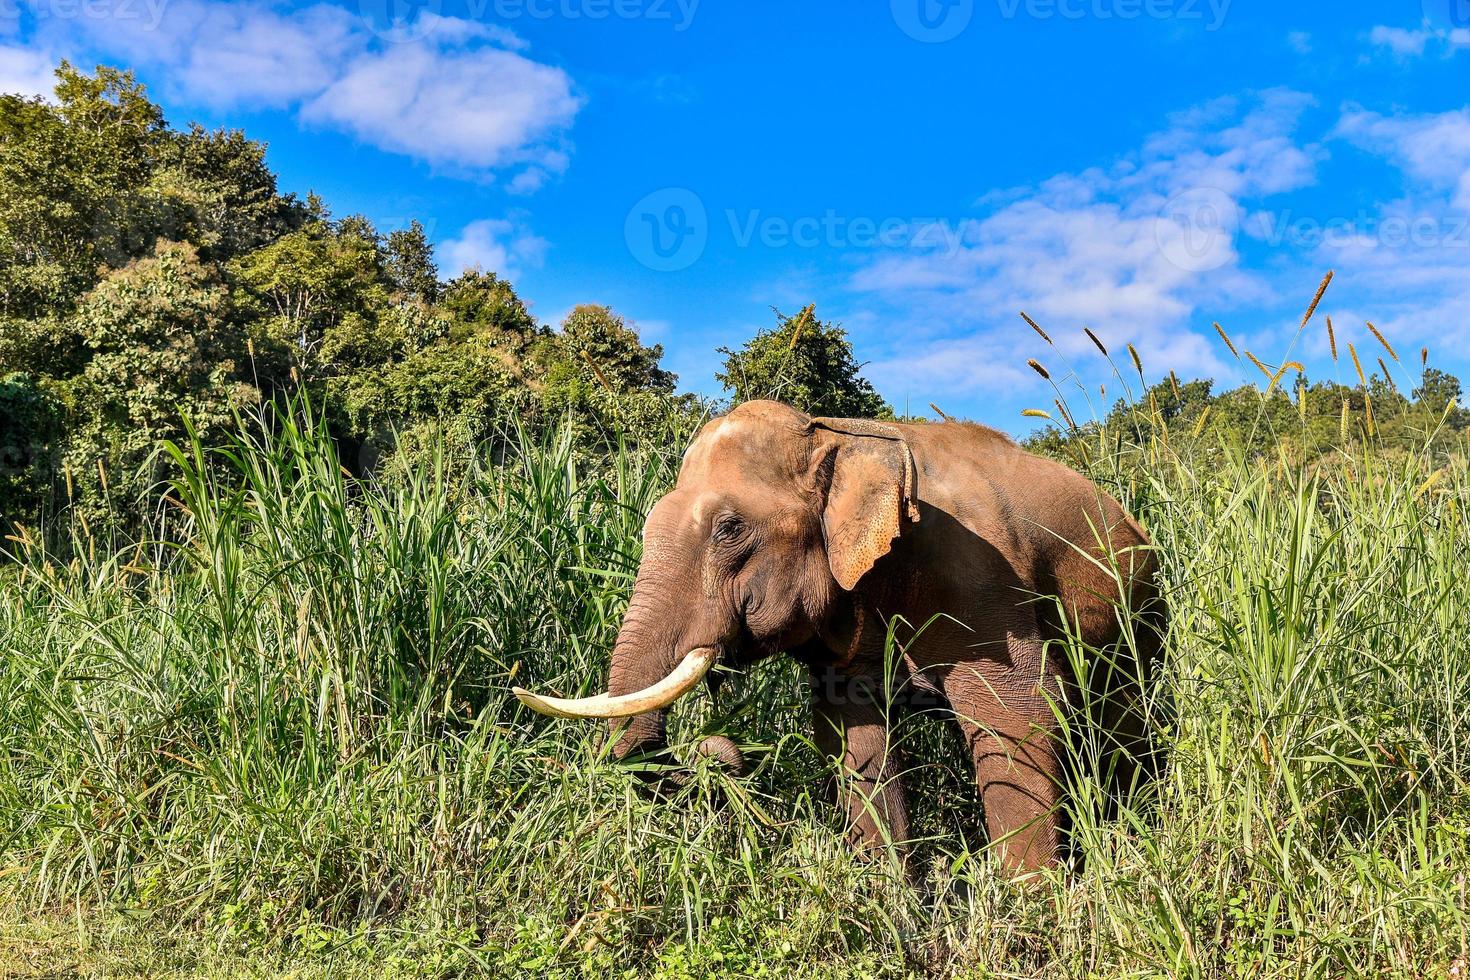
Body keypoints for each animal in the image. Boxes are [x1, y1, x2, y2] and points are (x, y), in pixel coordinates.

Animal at [517, 399, 1170, 875]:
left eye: (729, 529)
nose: (720, 752)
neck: (844, 434)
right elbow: (853, 737)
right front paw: (895, 899)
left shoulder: (980, 579)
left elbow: (1017, 717)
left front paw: (1028, 911)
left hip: (1140, 614)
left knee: (1126, 719)